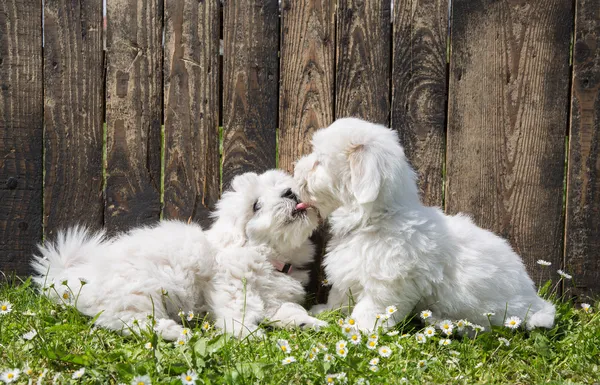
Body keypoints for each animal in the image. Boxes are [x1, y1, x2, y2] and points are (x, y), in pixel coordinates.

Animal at [30, 170, 326, 338]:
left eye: (284, 188)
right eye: (256, 205)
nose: (289, 193)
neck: (268, 256)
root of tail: (74, 276)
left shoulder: (275, 297)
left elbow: (289, 308)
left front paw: (306, 322)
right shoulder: (231, 286)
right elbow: (238, 311)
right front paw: (248, 334)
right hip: (141, 289)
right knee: (123, 320)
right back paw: (173, 332)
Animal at [292, 118, 556, 332]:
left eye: (318, 163)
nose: (295, 169)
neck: (376, 219)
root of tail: (536, 302)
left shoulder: (387, 284)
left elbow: (370, 308)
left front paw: (359, 329)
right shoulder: (349, 274)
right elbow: (339, 296)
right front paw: (326, 311)